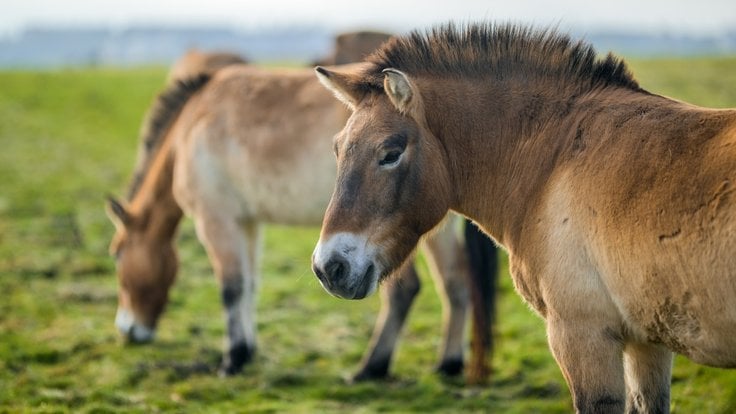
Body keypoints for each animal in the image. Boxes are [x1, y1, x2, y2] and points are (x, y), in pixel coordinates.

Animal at [106, 56, 498, 380]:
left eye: (117, 255)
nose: (127, 330)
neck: (192, 125)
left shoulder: (217, 220)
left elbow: (232, 288)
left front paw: (233, 359)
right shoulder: (248, 223)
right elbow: (250, 284)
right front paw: (247, 351)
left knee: (406, 289)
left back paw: (372, 367)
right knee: (456, 281)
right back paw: (448, 363)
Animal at [314, 23, 736, 414]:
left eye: (391, 153)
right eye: (337, 148)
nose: (328, 267)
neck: (554, 162)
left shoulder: (583, 337)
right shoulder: (647, 343)